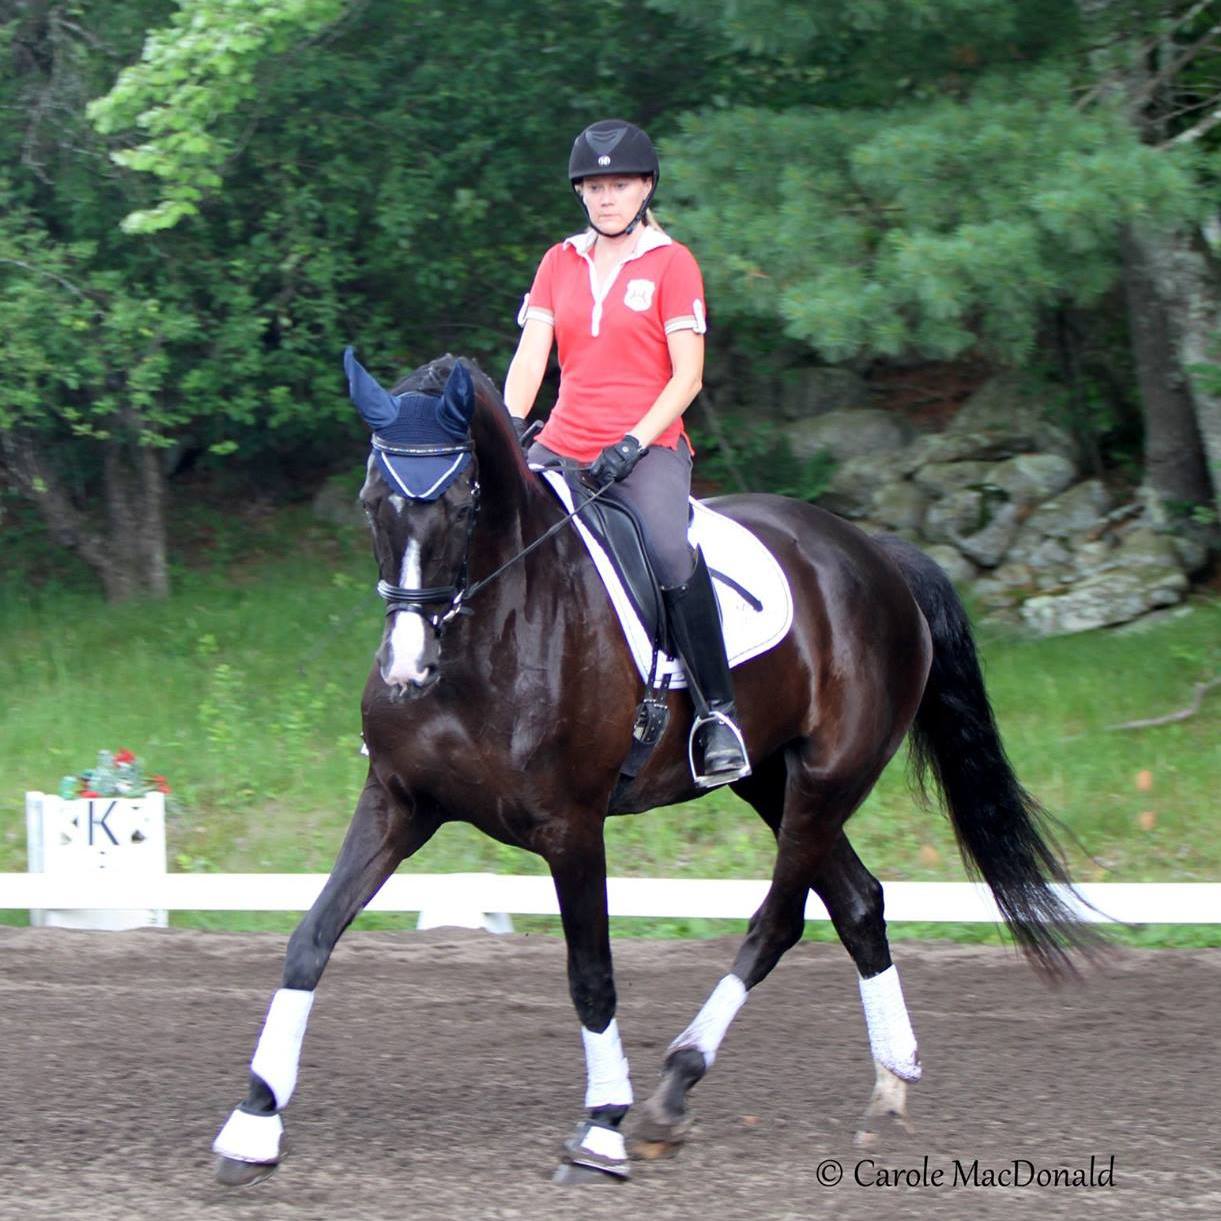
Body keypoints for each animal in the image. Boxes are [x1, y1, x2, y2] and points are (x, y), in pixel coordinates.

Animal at [212, 351, 1095, 1186]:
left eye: (462, 501)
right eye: (371, 501)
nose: (405, 667)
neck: (489, 628)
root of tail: (873, 554)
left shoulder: (570, 827)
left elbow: (591, 974)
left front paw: (601, 1128)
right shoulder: (398, 801)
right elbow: (310, 936)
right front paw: (254, 1121)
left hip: (825, 779)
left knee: (780, 919)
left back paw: (675, 1085)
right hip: (769, 779)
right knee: (857, 901)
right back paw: (886, 1088)